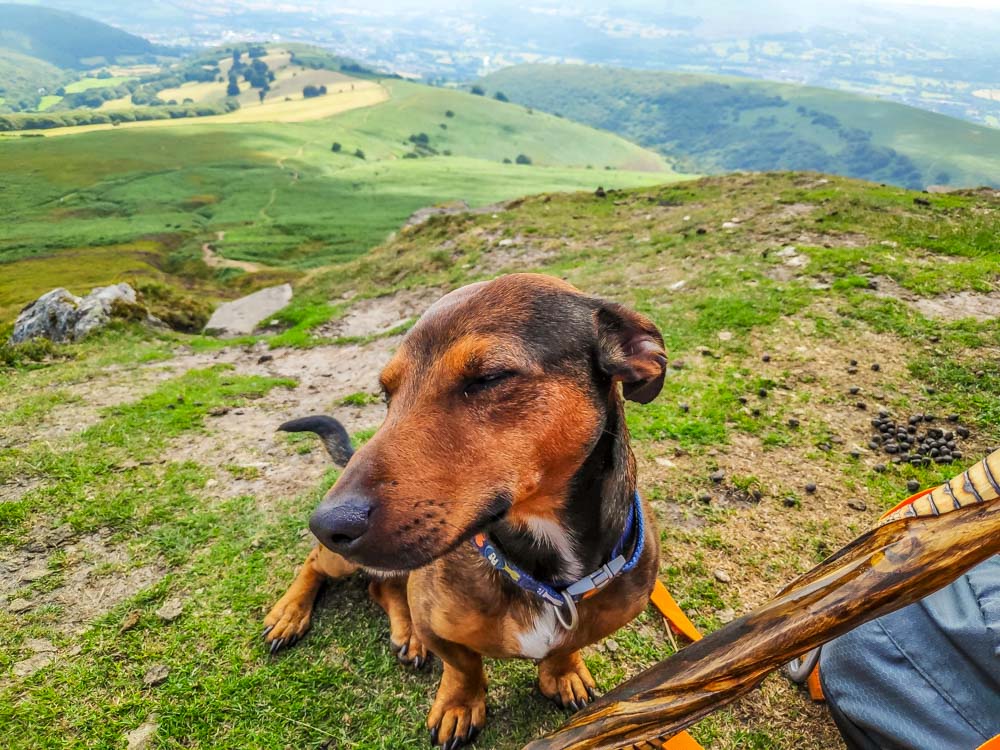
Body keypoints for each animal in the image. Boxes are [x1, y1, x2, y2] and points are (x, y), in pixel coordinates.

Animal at [264, 276, 664, 750]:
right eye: (386, 393)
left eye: (488, 378)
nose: (328, 524)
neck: (544, 574)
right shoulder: (440, 629)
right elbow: (464, 667)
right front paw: (459, 705)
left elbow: (566, 645)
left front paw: (563, 672)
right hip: (343, 563)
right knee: (316, 564)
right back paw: (290, 614)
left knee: (382, 588)